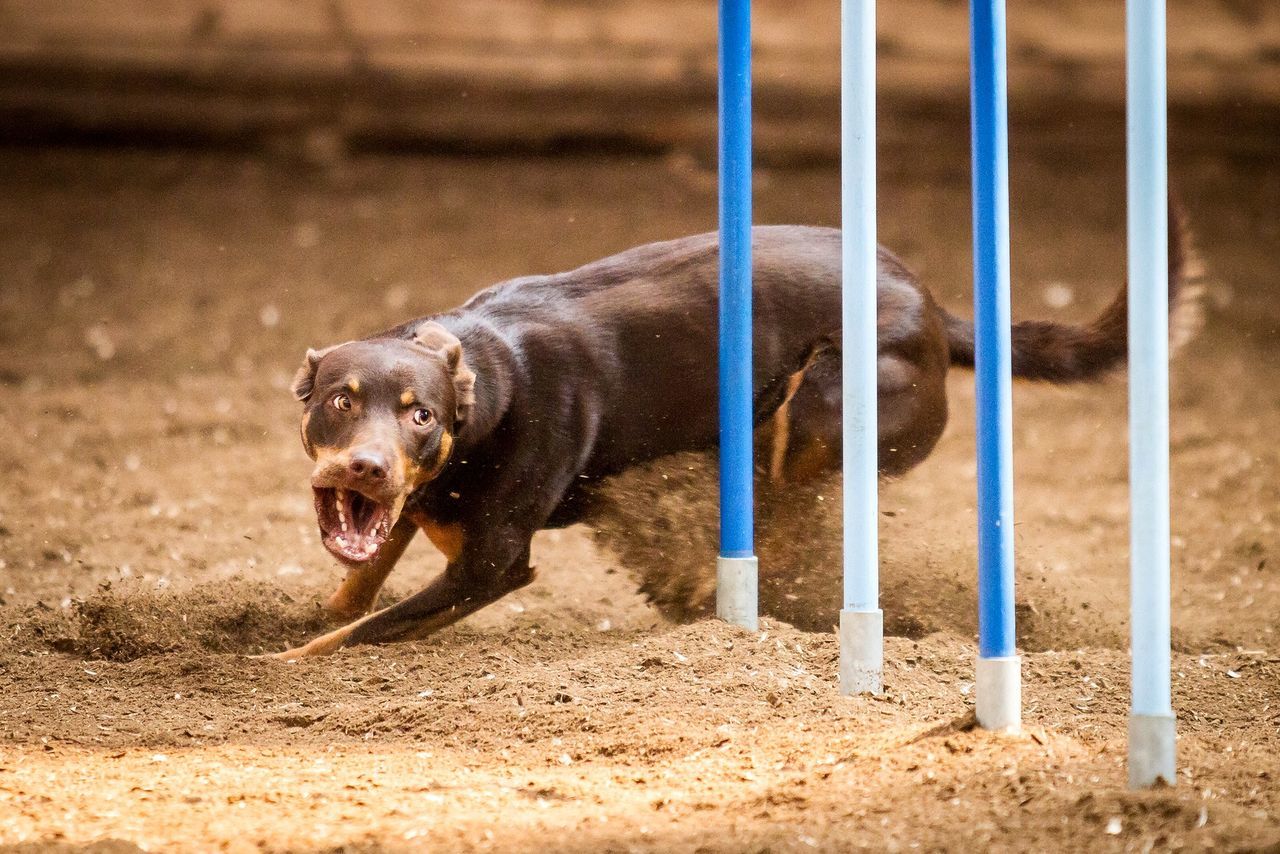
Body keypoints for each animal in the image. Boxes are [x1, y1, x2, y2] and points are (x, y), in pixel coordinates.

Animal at [275, 213, 1192, 660]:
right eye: (341, 402)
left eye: (420, 414)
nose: (368, 466)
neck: (489, 384)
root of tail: (937, 312)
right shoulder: (411, 509)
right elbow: (360, 588)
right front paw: (307, 616)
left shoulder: (494, 567)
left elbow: (357, 635)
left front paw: (279, 666)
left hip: (824, 399)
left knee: (791, 489)